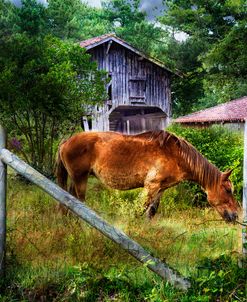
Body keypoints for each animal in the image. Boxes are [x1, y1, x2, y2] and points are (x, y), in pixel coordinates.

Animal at [56, 130, 239, 222]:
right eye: (228, 190)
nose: (235, 215)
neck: (176, 155)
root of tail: (66, 141)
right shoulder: (151, 186)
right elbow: (140, 209)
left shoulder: (160, 188)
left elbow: (151, 211)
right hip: (80, 178)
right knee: (78, 201)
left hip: (77, 178)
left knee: (68, 199)